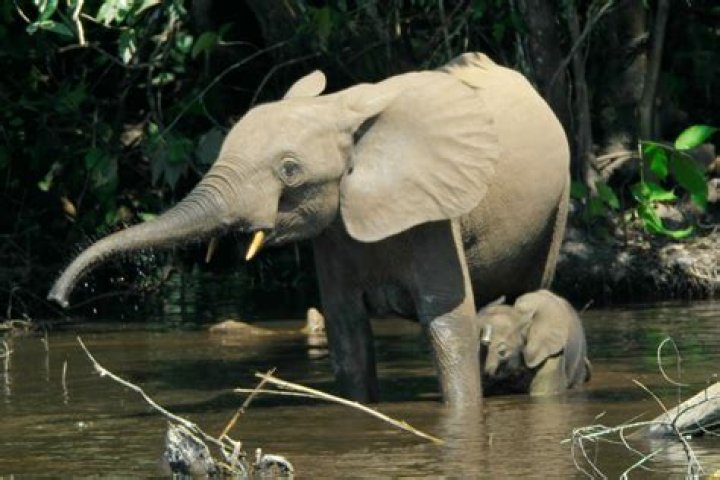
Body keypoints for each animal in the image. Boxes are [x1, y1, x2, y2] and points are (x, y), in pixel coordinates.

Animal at [48, 53, 570, 406]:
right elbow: (347, 333)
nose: (58, 300)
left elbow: (447, 325)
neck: (340, 109)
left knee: (529, 290)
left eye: (290, 170)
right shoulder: (334, 231)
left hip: (558, 203)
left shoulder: (435, 214)